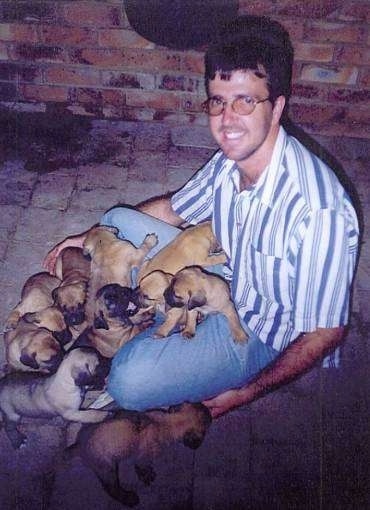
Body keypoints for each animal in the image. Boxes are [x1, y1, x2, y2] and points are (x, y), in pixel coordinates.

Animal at [66, 404, 211, 508]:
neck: (169, 423)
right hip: (107, 469)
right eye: (208, 421)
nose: (209, 411)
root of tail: (79, 446)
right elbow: (142, 467)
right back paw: (128, 498)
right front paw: (147, 476)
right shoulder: (144, 457)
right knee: (111, 488)